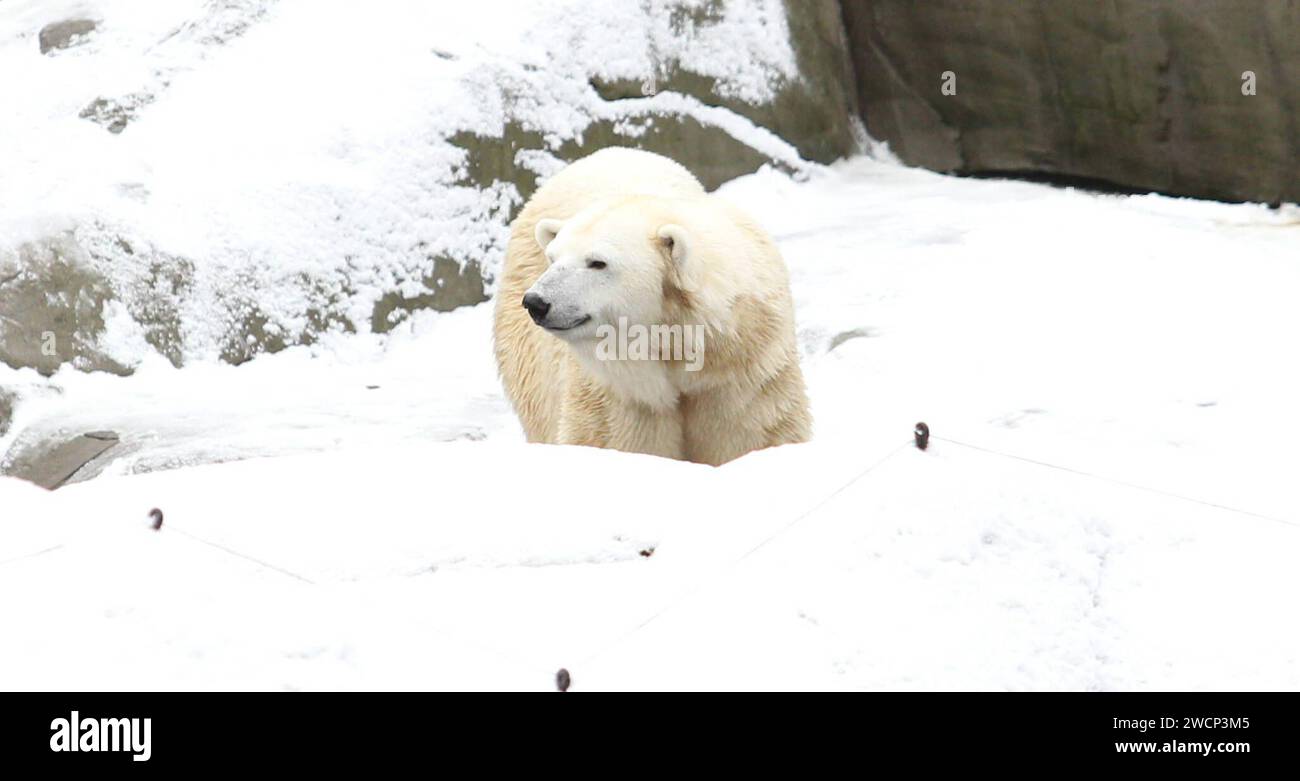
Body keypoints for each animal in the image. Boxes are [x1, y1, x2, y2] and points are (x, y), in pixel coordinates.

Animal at [491, 146, 806, 462]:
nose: (536, 302)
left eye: (597, 262)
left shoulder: (742, 378)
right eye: (553, 258)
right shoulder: (622, 396)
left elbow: (755, 435)